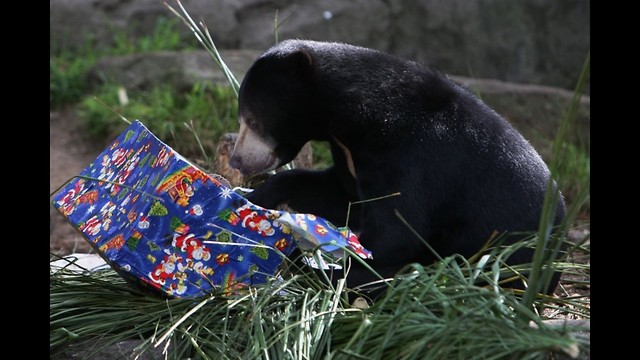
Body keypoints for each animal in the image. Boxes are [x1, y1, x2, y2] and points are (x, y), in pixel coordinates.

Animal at [229, 40, 564, 298]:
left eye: (253, 120)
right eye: (243, 119)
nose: (237, 161)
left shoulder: (413, 154)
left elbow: (398, 228)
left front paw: (325, 269)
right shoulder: (353, 155)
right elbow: (343, 196)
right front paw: (255, 197)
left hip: (506, 251)